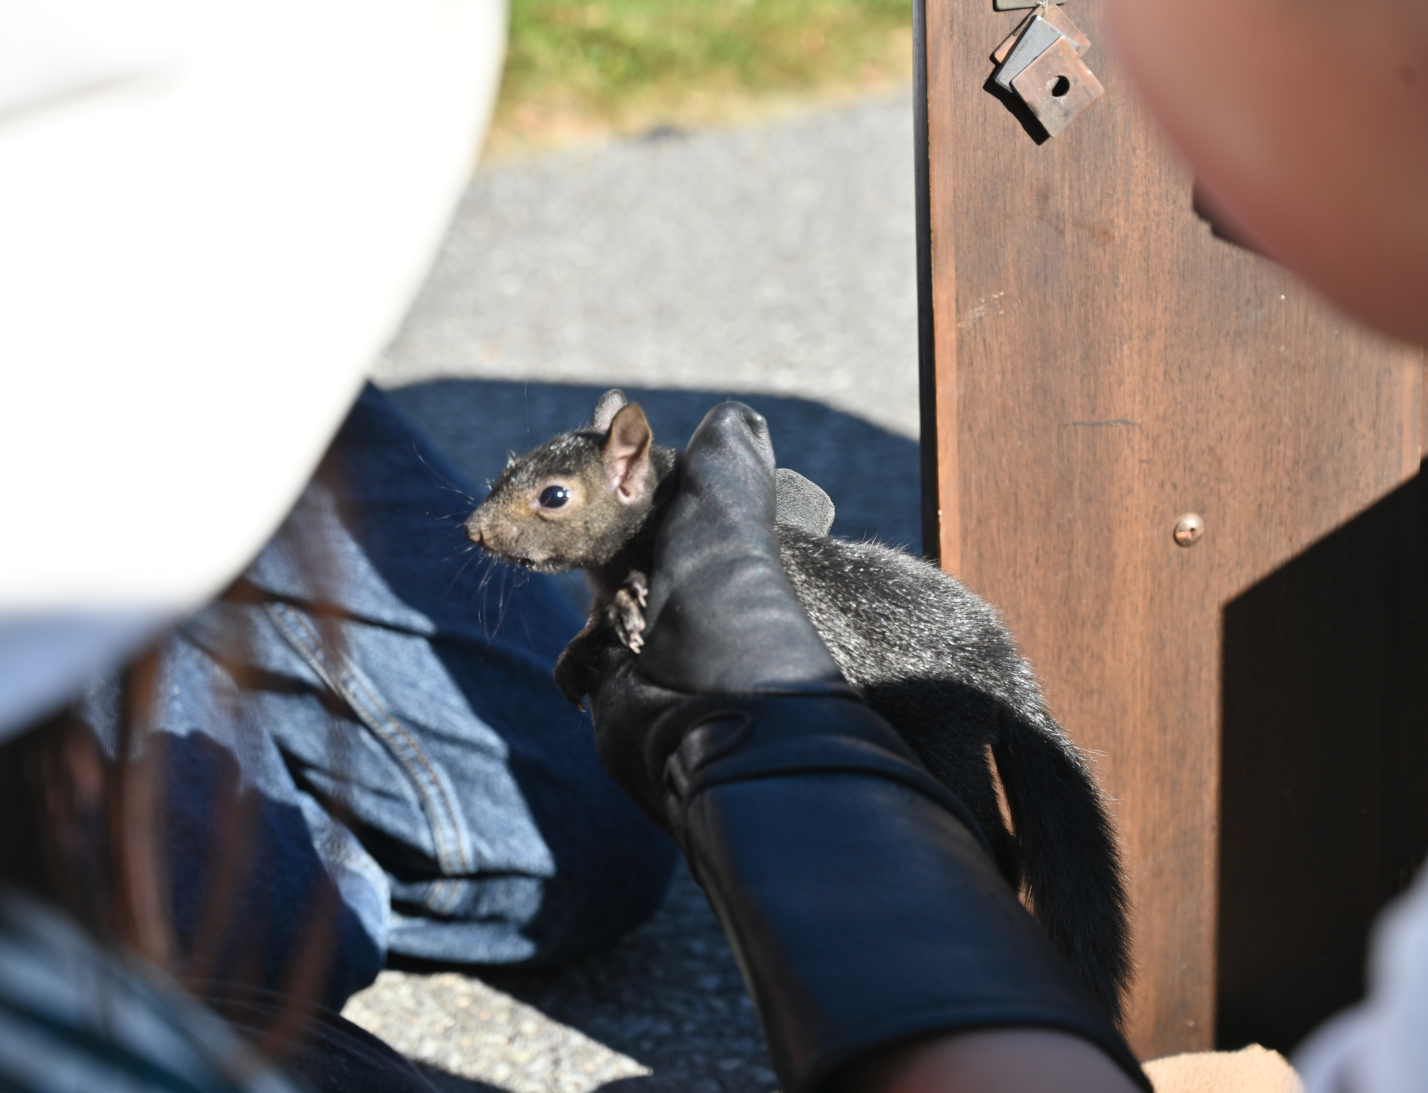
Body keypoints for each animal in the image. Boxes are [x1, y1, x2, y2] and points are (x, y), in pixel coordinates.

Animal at [464, 389, 1131, 1025]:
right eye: (509, 467)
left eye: (555, 496)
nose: (472, 530)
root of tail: (1001, 667)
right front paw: (573, 658)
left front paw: (632, 604)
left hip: (944, 736)